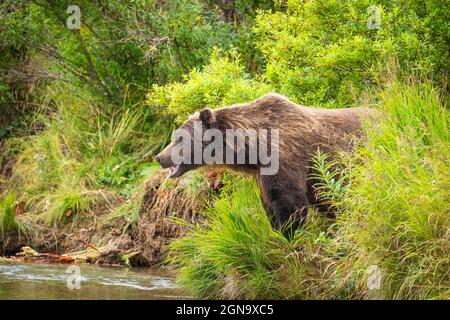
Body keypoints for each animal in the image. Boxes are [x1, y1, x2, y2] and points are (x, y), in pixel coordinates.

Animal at [155, 94, 372, 234]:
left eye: (179, 138)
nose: (159, 157)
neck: (252, 148)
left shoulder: (285, 157)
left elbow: (289, 203)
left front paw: (290, 234)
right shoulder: (263, 172)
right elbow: (269, 203)